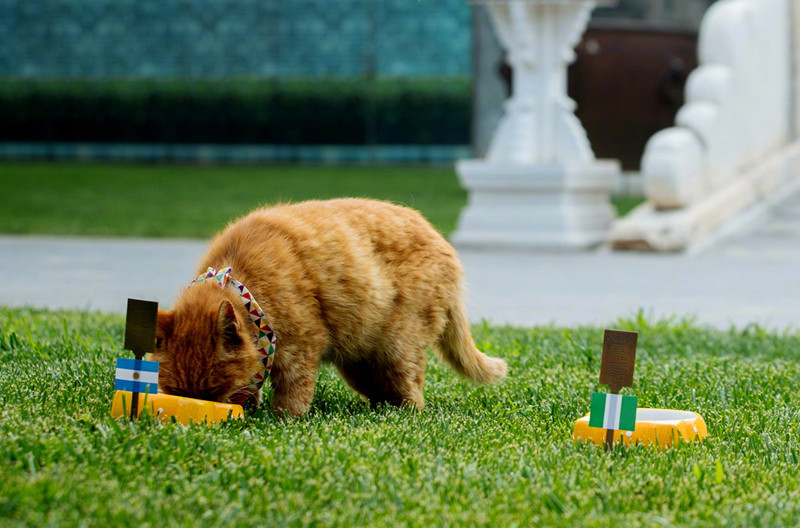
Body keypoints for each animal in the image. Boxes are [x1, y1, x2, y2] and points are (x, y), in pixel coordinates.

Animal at [153, 198, 506, 416]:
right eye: (176, 391)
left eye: (213, 388)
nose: (200, 412)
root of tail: (445, 245)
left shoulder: (301, 348)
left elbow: (293, 395)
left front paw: (282, 420)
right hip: (361, 363)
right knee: (383, 393)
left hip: (398, 349)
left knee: (413, 394)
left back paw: (403, 415)